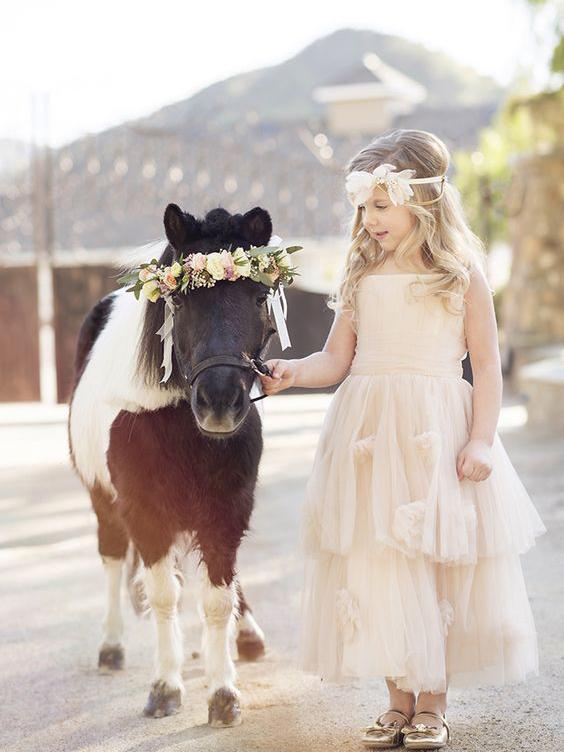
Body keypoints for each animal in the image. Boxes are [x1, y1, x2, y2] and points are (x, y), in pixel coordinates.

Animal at [69, 203, 280, 724]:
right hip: (102, 499)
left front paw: (224, 692)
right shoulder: (145, 512)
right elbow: (166, 595)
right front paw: (165, 686)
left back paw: (247, 634)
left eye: (257, 295)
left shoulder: (228, 507)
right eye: (179, 303)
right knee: (111, 558)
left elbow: (218, 596)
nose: (220, 404)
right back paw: (111, 646)